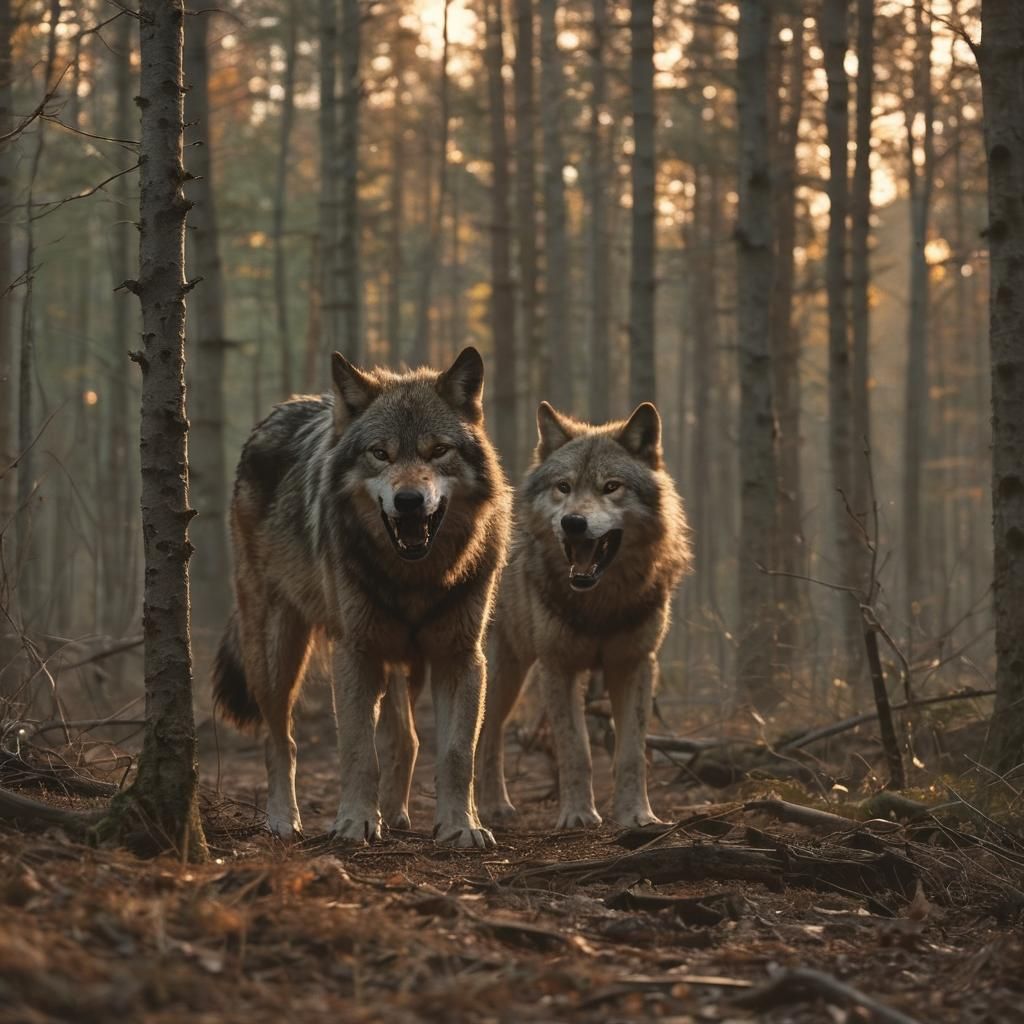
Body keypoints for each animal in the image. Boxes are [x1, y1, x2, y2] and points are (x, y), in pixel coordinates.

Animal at [212, 347, 511, 849]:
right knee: (280, 740)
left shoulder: (461, 656)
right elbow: (357, 751)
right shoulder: (355, 653)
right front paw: (354, 823)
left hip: (401, 664)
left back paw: (396, 815)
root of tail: (278, 411)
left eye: (437, 451)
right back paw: (283, 820)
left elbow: (455, 754)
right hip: (277, 651)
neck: (415, 578)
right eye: (380, 453)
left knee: (406, 740)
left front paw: (461, 826)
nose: (409, 501)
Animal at [476, 401, 691, 829]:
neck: (599, 604)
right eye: (564, 487)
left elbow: (631, 753)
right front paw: (577, 814)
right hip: (503, 672)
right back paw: (490, 808)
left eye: (611, 487)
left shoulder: (635, 664)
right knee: (486, 734)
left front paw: (637, 815)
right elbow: (576, 749)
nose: (573, 522)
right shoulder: (558, 666)